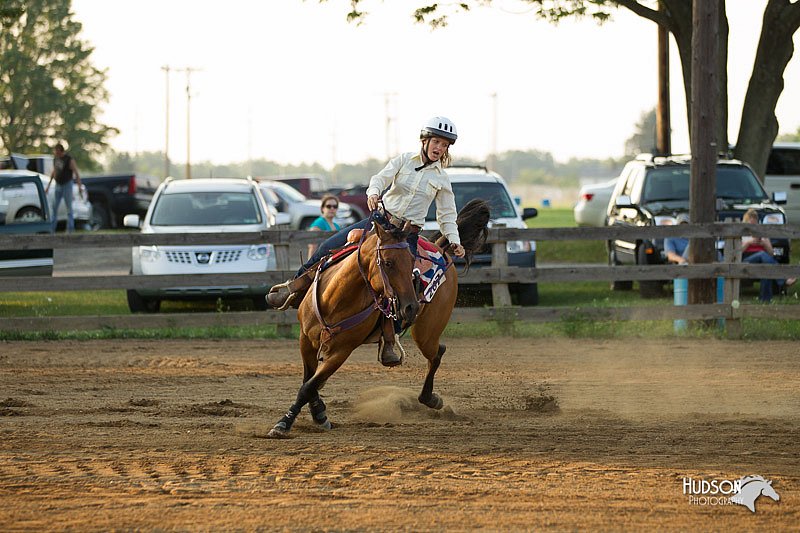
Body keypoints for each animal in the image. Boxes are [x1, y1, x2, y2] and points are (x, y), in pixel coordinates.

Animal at [268, 200, 490, 436]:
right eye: (388, 262)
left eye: (412, 262)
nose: (411, 306)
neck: (334, 300)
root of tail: (440, 248)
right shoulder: (306, 340)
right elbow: (309, 381)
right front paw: (318, 413)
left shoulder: (341, 351)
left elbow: (308, 386)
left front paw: (285, 423)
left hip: (426, 333)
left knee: (438, 352)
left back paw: (430, 398)